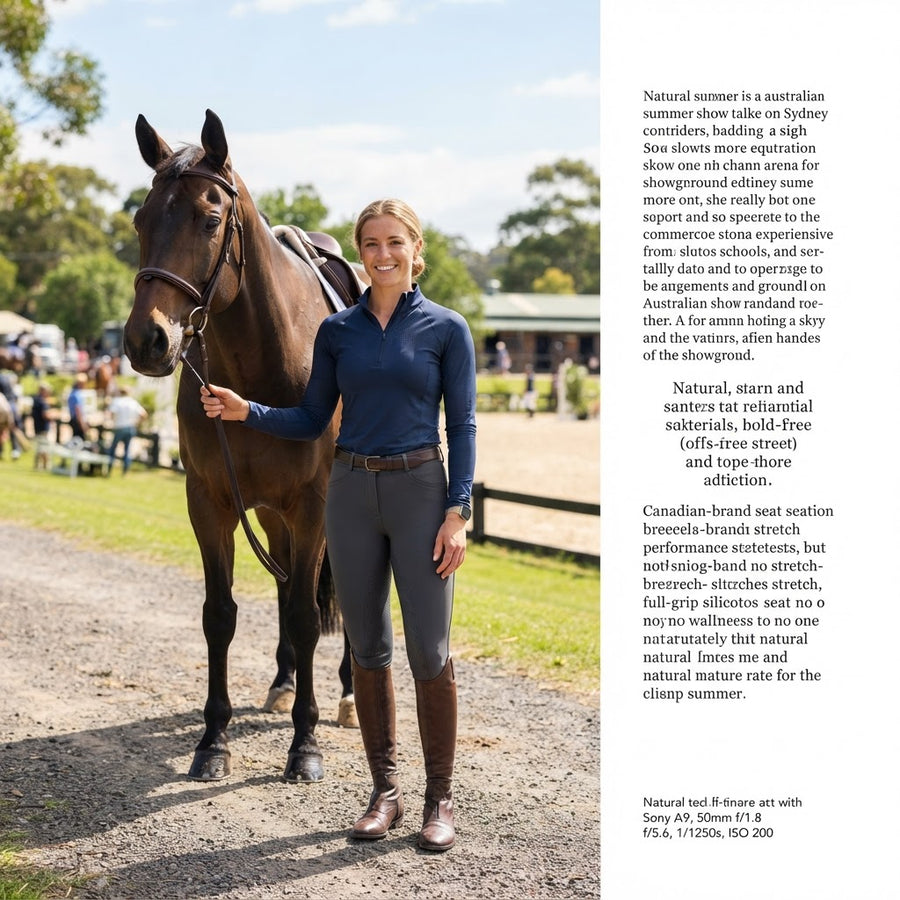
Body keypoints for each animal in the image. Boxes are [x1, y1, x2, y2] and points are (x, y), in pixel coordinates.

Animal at [124, 109, 360, 784]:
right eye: (140, 220)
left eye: (209, 220)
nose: (147, 340)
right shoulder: (210, 502)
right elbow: (221, 615)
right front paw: (213, 740)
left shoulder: (312, 505)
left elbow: (307, 614)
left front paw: (305, 745)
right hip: (272, 515)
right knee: (283, 588)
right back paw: (283, 683)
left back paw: (346, 695)